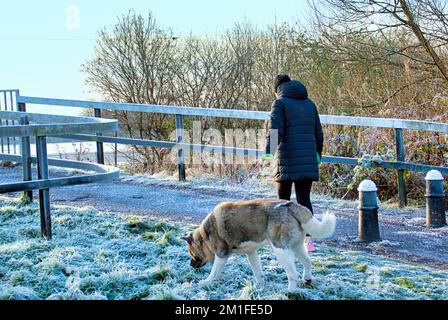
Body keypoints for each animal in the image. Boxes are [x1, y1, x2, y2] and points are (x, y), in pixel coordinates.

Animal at [183, 199, 336, 288]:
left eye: (192, 253)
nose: (190, 265)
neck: (205, 236)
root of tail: (291, 205)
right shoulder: (251, 253)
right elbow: (257, 271)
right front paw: (259, 286)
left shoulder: (222, 255)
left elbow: (214, 272)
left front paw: (206, 282)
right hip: (297, 246)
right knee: (307, 262)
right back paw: (307, 279)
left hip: (281, 251)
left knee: (293, 274)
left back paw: (290, 292)